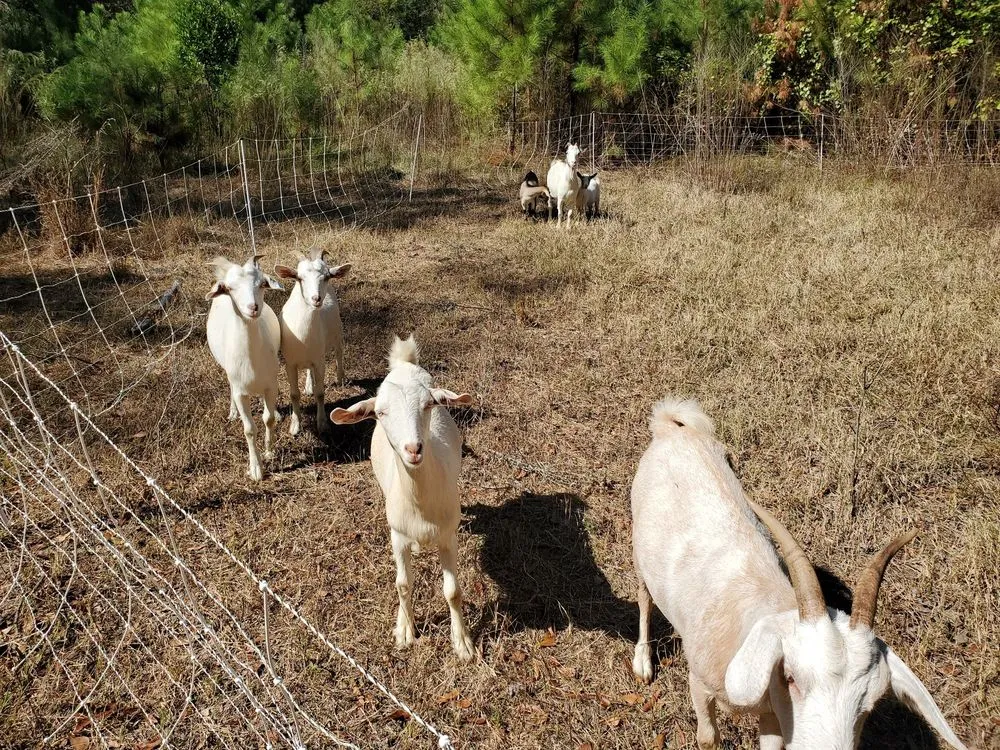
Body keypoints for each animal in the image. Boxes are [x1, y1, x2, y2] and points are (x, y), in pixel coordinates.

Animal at [205, 255, 283, 481]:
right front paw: (256, 468)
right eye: (230, 288)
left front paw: (269, 452)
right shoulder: (241, 392)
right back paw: (232, 413)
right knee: (230, 386)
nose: (253, 307)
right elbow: (249, 429)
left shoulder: (271, 384)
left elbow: (268, 419)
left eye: (262, 284)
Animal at [274, 249, 351, 436]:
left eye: (327, 277)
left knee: (339, 353)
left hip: (337, 331)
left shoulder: (320, 361)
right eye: (299, 278)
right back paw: (309, 385)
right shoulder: (290, 363)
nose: (316, 299)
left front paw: (322, 424)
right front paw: (295, 426)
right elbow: (294, 394)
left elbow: (320, 393)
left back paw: (340, 378)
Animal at [330, 335, 476, 660]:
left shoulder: (448, 536)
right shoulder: (397, 535)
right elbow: (403, 584)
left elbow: (453, 592)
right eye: (380, 413)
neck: (420, 503)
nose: (413, 449)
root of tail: (405, 364)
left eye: (429, 404)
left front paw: (462, 643)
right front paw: (405, 631)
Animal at [631, 397, 967, 750]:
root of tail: (671, 428)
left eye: (871, 703)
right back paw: (643, 661)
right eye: (791, 677)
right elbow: (708, 737)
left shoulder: (773, 715)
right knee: (643, 596)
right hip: (639, 549)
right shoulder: (699, 681)